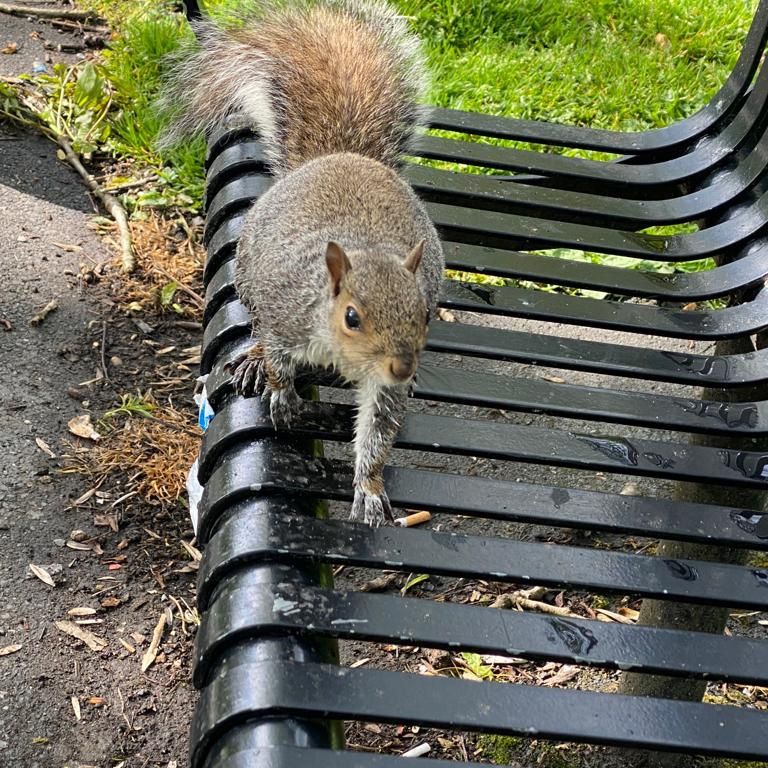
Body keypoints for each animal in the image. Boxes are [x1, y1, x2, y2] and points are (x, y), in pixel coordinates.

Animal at [162, 0, 444, 528]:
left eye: (424, 314)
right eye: (352, 316)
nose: (402, 367)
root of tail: (340, 156)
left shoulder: (382, 385)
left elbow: (376, 434)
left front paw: (369, 489)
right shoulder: (285, 314)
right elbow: (278, 359)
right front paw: (283, 395)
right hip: (249, 271)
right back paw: (252, 361)